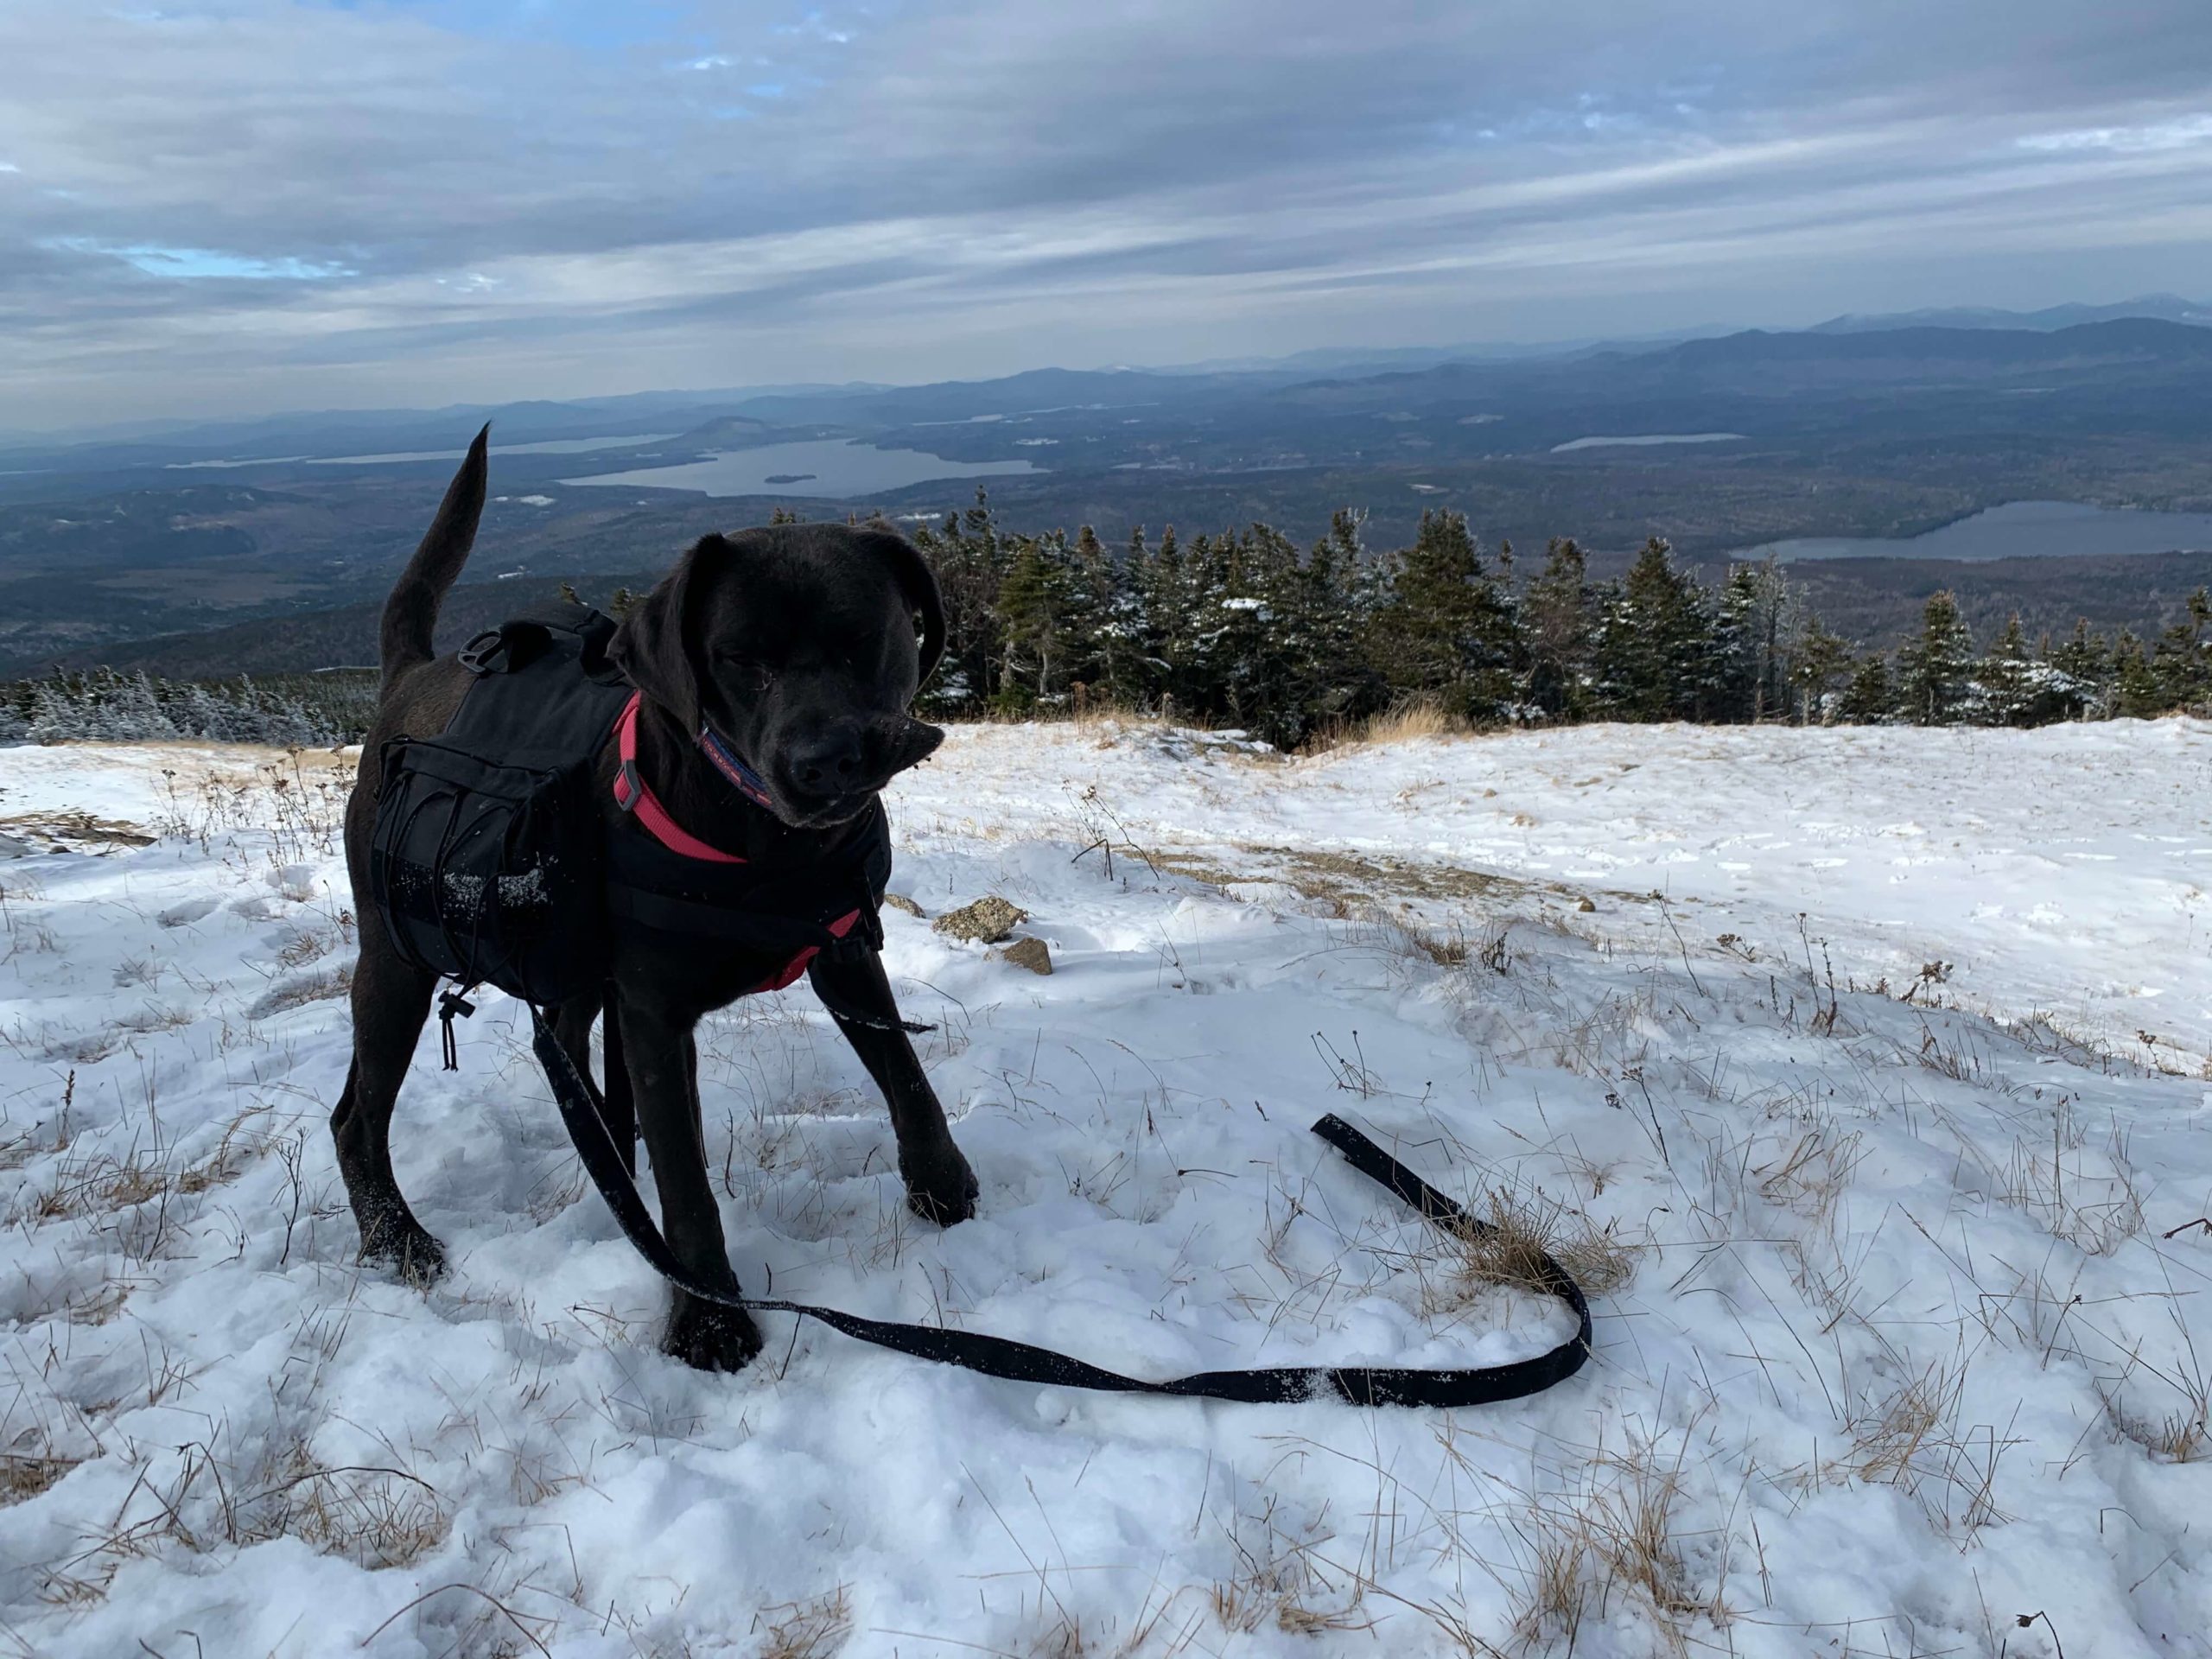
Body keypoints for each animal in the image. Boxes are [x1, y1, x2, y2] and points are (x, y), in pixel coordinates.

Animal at [334, 431, 977, 1380]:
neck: (762, 843)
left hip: (565, 961)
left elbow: (905, 1074)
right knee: (356, 1118)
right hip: (396, 962)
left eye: (865, 640)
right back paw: (396, 1237)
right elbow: (687, 1180)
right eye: (739, 658)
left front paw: (942, 1184)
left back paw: (605, 1160)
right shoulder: (653, 1016)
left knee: (564, 1045)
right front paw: (707, 1324)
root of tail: (412, 676)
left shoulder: (844, 947)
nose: (825, 761)